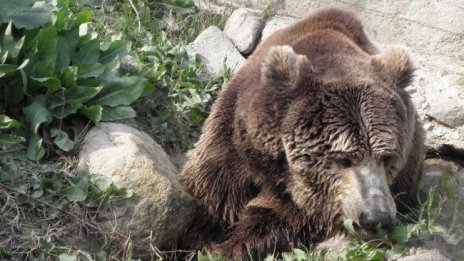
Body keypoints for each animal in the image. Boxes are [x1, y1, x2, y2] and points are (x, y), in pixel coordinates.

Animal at [178, 6, 424, 258]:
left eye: (387, 157)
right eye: (343, 159)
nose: (376, 216)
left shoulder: (302, 200)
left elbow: (273, 216)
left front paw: (227, 248)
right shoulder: (233, 137)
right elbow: (211, 191)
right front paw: (198, 240)